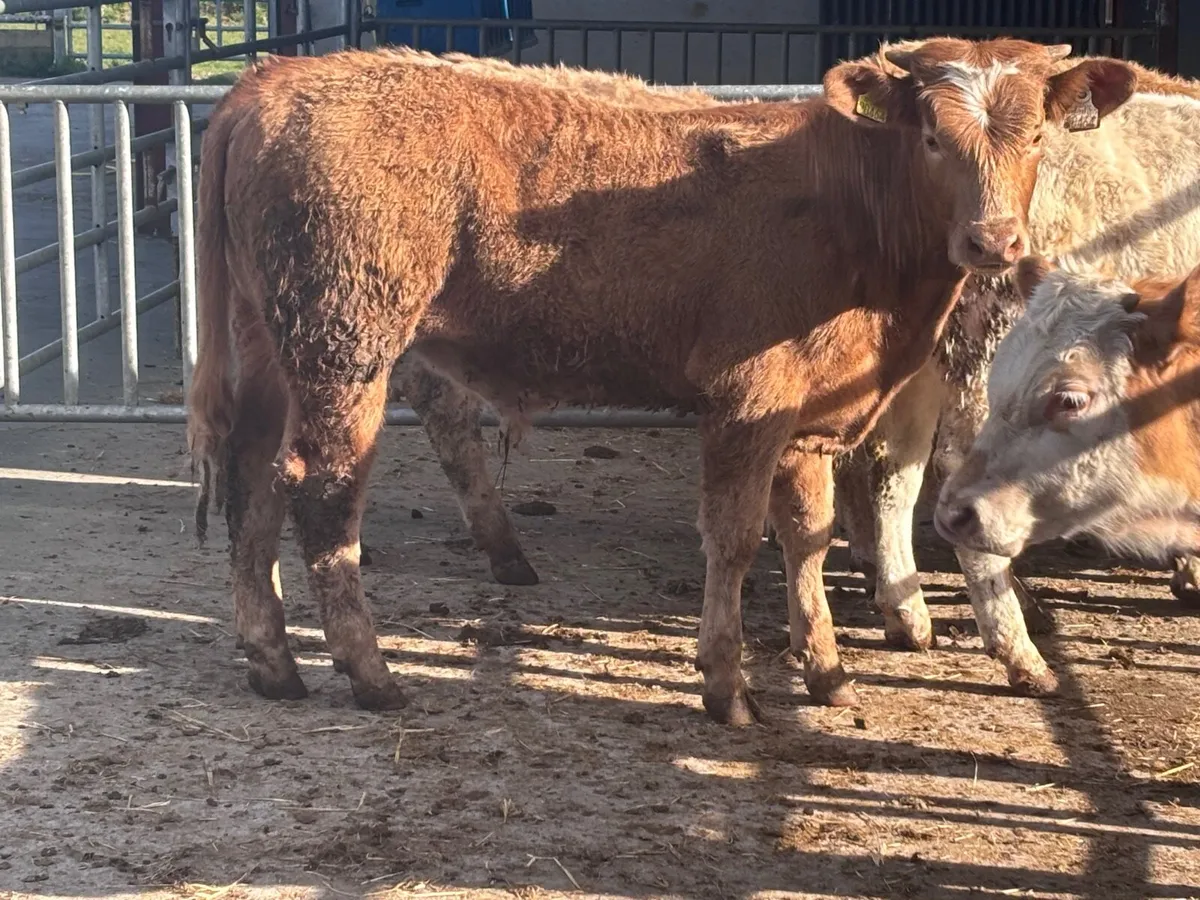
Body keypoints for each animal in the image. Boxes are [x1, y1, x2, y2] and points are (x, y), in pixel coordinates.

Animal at [187, 40, 1137, 723]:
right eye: (933, 136)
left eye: (1038, 136)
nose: (994, 241)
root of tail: (274, 81)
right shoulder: (748, 402)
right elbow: (735, 537)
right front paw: (726, 684)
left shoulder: (809, 417)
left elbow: (807, 537)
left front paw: (826, 669)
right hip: (347, 345)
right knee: (321, 495)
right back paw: (369, 671)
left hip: (270, 345)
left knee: (251, 479)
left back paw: (273, 659)